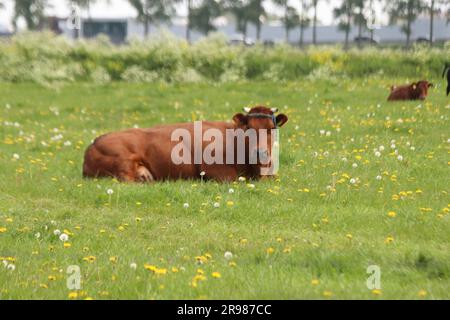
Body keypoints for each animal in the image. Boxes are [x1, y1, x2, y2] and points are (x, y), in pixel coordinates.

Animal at [83, 106, 288, 182]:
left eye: (271, 128)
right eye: (249, 128)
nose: (261, 153)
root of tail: (93, 144)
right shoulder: (218, 172)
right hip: (122, 159)